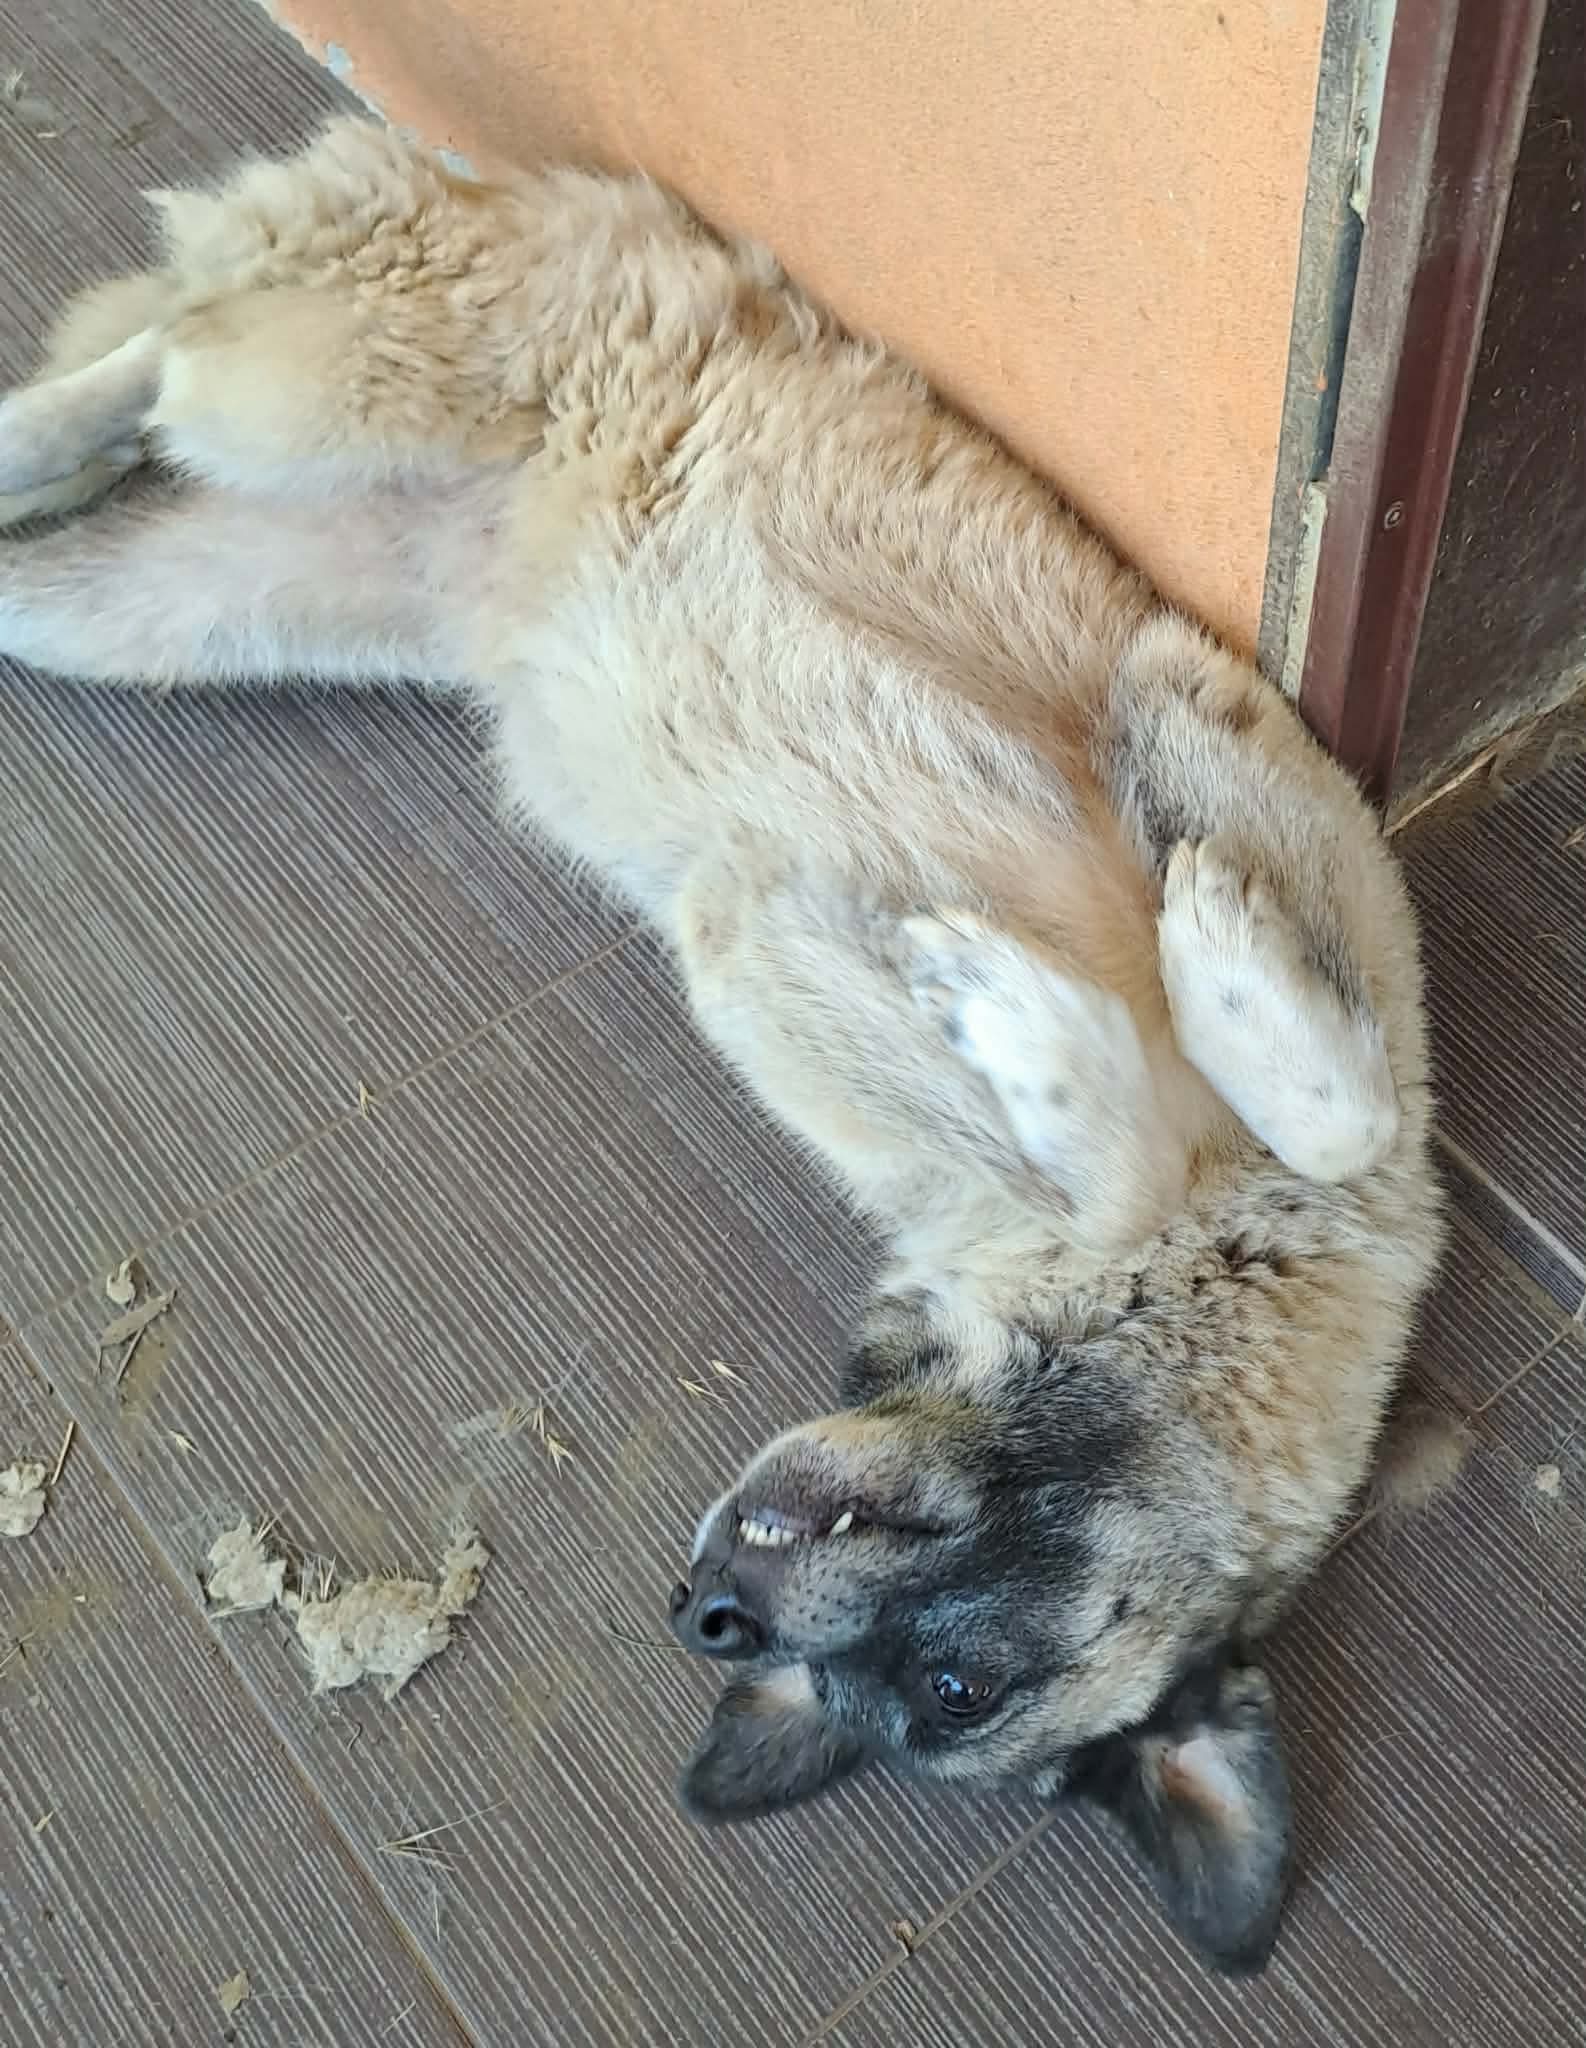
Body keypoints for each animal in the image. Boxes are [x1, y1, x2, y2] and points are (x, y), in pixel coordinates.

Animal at [0, 118, 1443, 1974]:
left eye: (943, 1695)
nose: (705, 1611)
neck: (1167, 1291)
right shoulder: (1237, 754)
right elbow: (1314, 1091)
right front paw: (1130, 976)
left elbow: (1181, 1107)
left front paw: (1034, 1016)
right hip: (343, 379)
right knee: (163, 359)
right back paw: (58, 421)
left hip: (171, 606)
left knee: (97, 468)